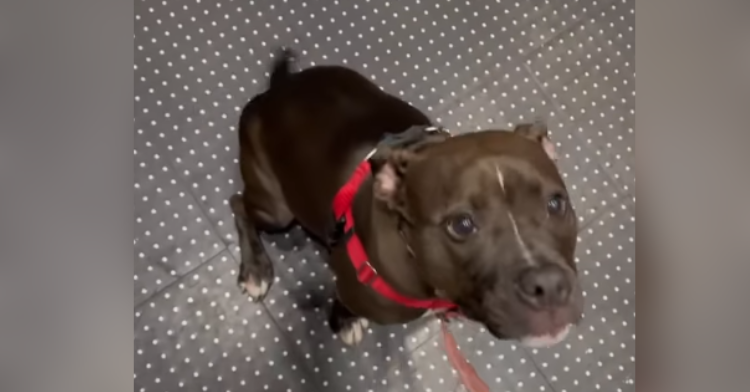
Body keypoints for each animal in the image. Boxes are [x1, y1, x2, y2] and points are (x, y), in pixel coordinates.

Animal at [232, 49, 584, 350]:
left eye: (556, 204)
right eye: (461, 224)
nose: (549, 285)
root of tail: (277, 90)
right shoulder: (350, 287)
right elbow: (343, 300)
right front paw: (344, 320)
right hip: (276, 210)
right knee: (239, 203)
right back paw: (255, 270)